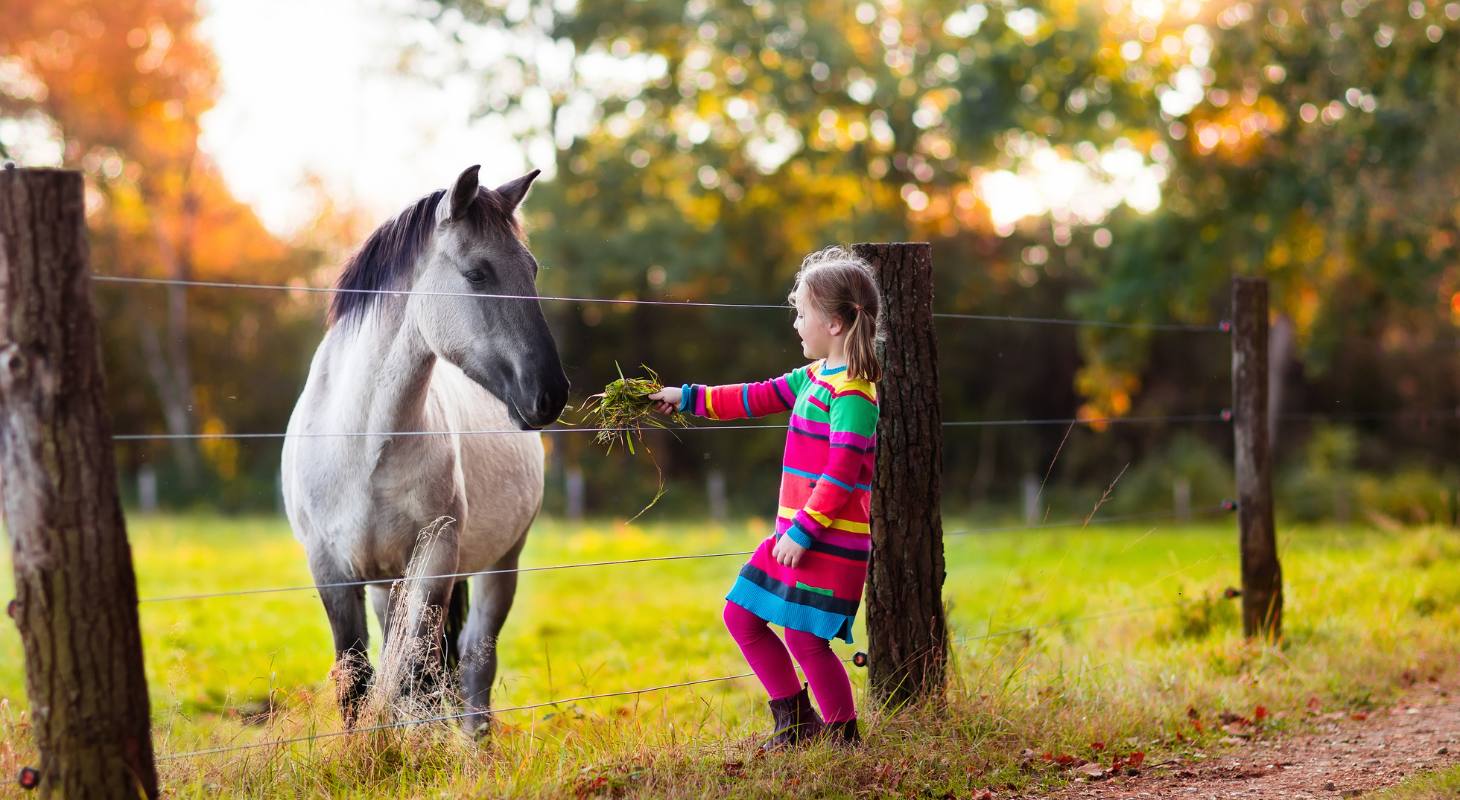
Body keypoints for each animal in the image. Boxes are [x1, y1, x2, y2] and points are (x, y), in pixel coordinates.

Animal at [280, 165, 569, 732]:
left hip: (499, 565)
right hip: (385, 585)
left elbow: (417, 678)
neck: (363, 446)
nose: (550, 393)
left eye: (532, 271)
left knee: (475, 662)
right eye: (478, 274)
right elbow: (358, 683)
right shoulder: (331, 572)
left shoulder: (435, 563)